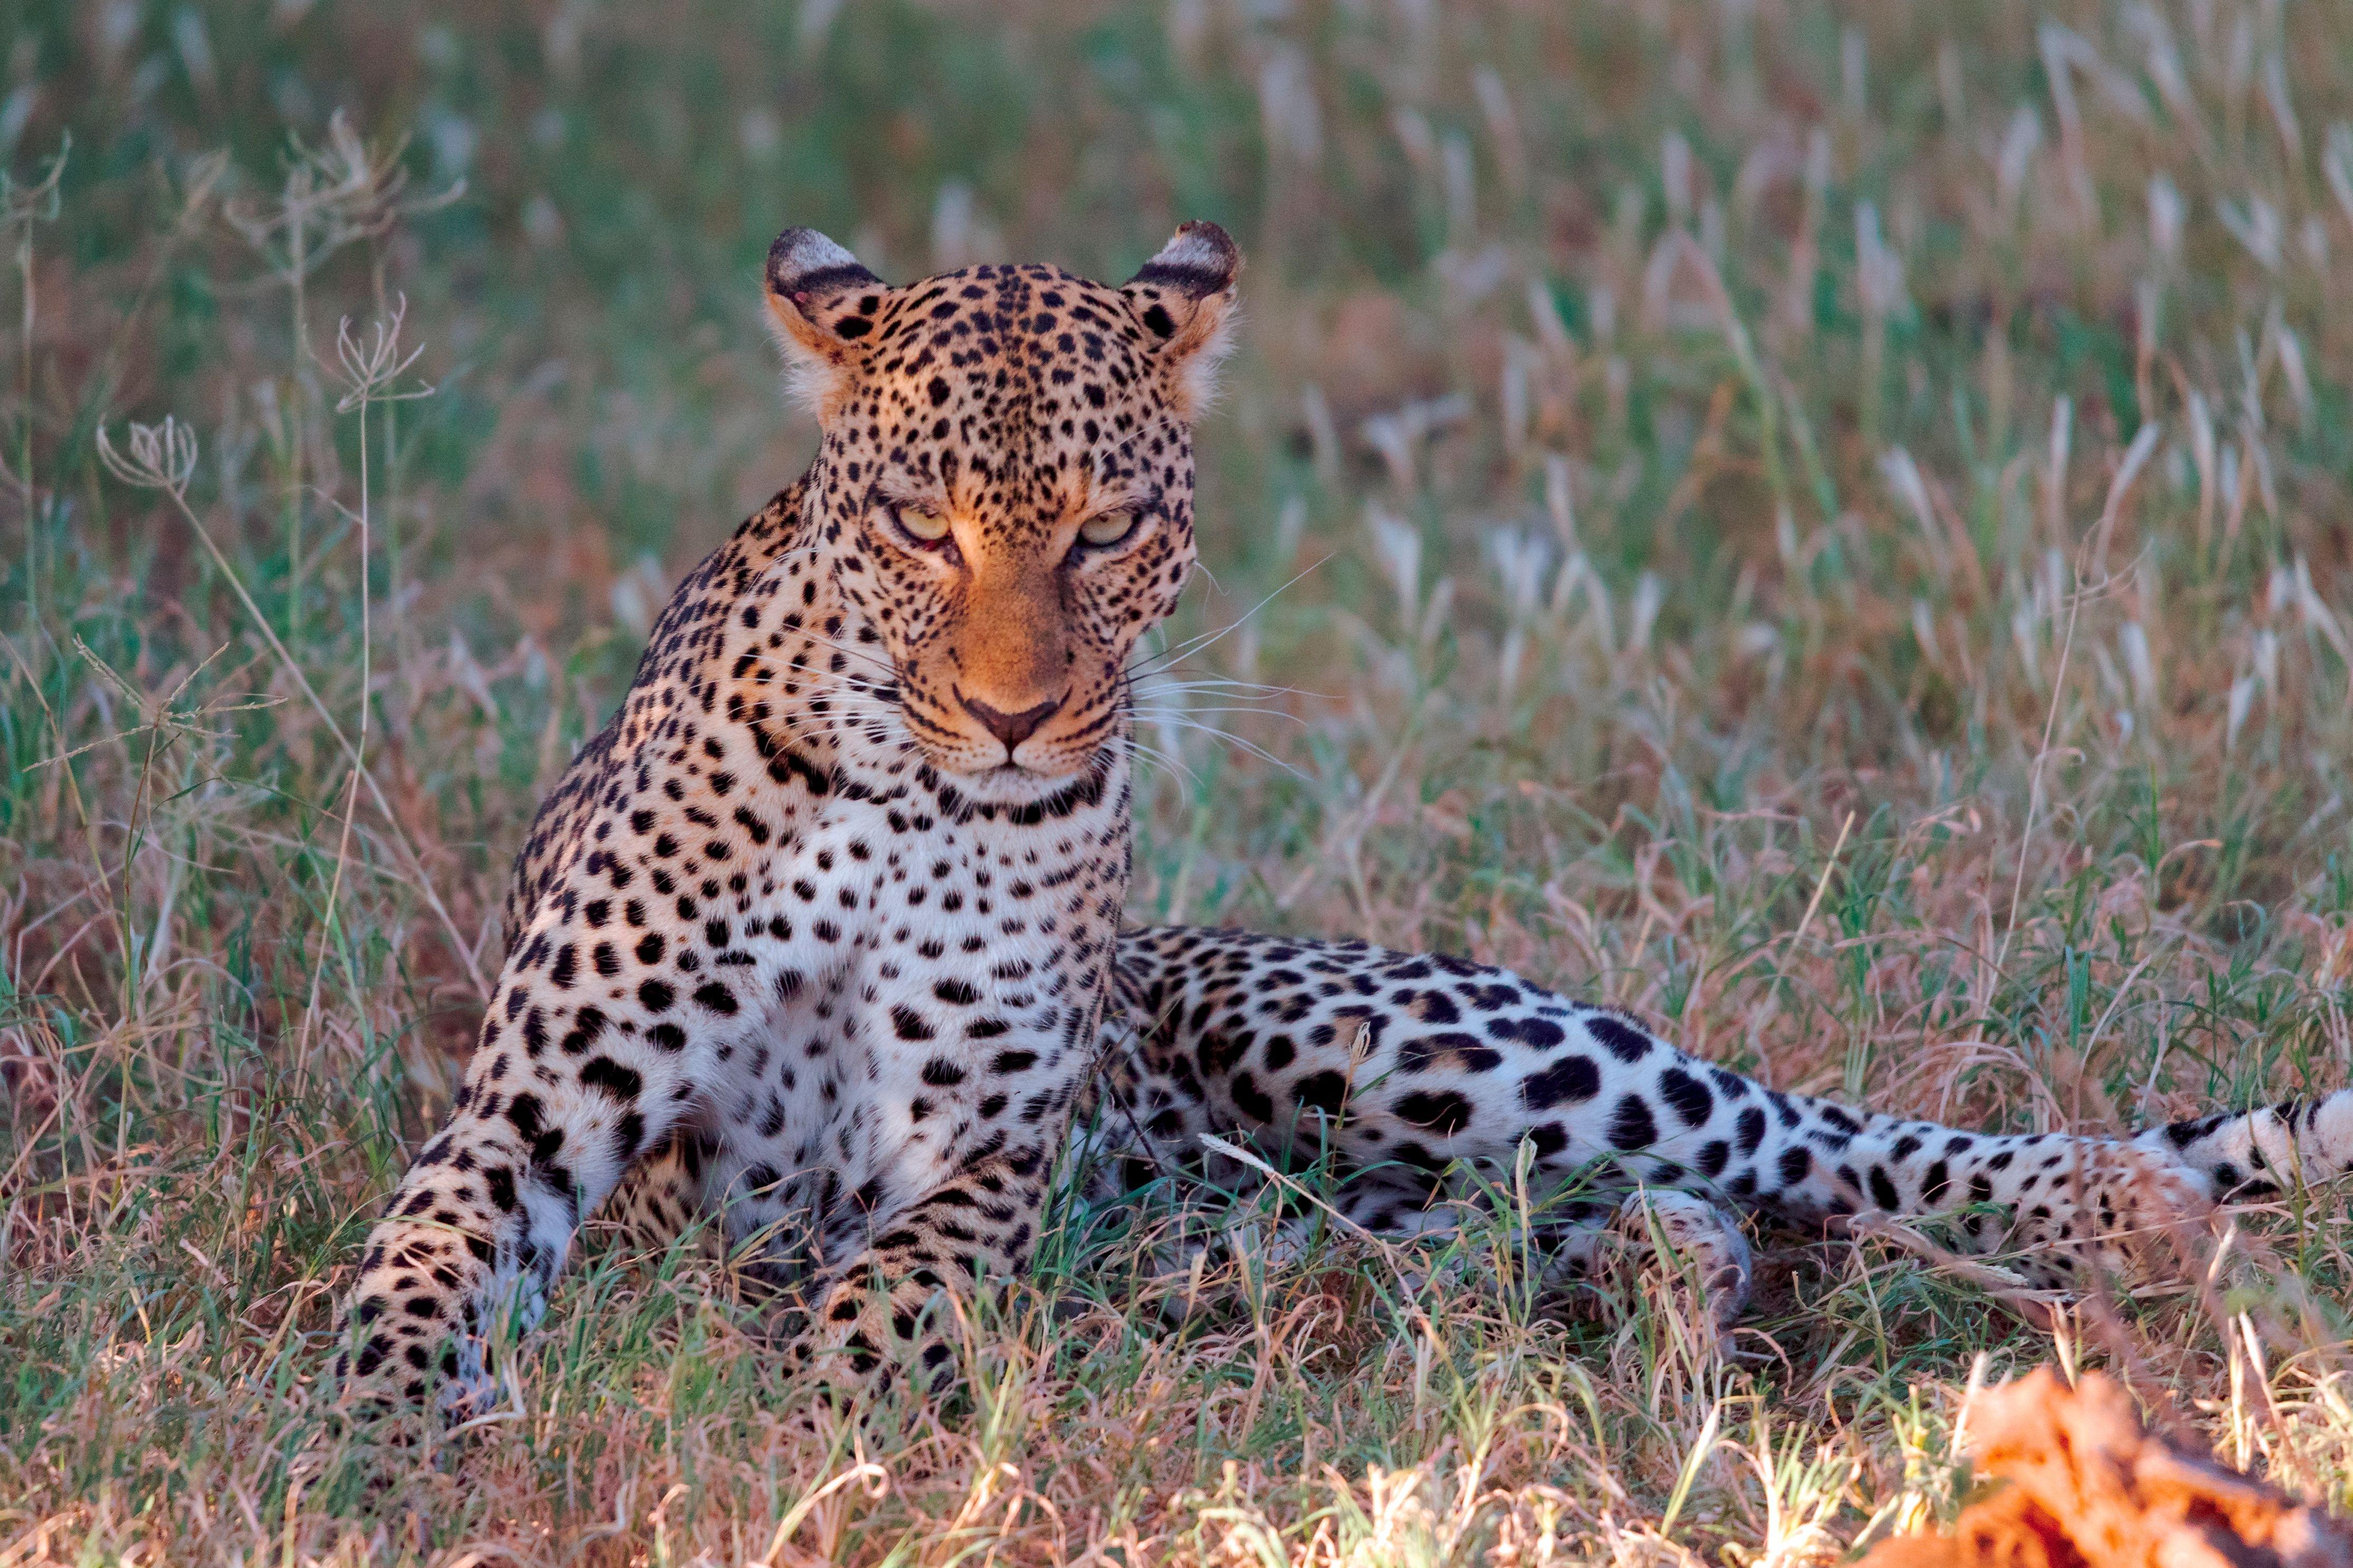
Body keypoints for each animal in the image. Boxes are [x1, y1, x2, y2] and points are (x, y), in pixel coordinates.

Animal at [336, 217, 2353, 1410]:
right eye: (920, 527)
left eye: (1105, 532)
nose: (1016, 722)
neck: (894, 798)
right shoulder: (526, 1116)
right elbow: (407, 1279)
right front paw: (392, 1444)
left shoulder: (978, 1156)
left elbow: (886, 1298)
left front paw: (837, 1422)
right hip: (1358, 1212)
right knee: (1649, 1224)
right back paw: (1665, 1316)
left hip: (1412, 1044)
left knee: (1829, 1143)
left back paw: (2134, 1218)